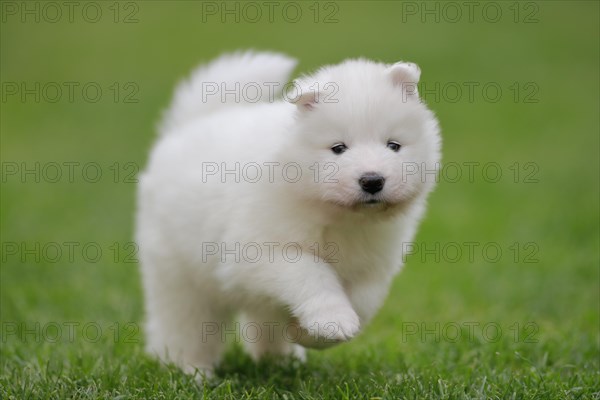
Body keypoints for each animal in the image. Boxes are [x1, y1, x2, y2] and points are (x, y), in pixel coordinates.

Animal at [138, 51, 442, 376]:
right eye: (338, 148)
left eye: (394, 145)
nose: (372, 180)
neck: (338, 217)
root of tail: (188, 126)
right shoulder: (259, 252)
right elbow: (311, 273)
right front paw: (331, 321)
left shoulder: (374, 263)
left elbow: (364, 301)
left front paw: (308, 334)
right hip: (178, 273)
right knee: (184, 325)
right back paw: (189, 370)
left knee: (263, 321)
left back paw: (280, 360)